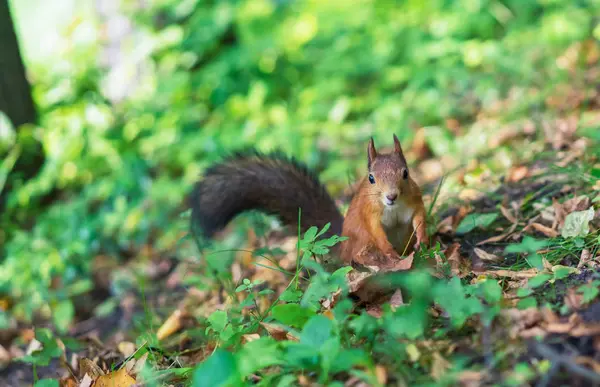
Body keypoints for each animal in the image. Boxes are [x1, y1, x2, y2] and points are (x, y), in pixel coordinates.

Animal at [190, 135, 428, 266]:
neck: (393, 208)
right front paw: (388, 251)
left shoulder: (414, 201)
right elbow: (376, 231)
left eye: (406, 173)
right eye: (371, 178)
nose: (391, 196)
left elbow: (419, 218)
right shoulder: (368, 212)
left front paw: (423, 237)